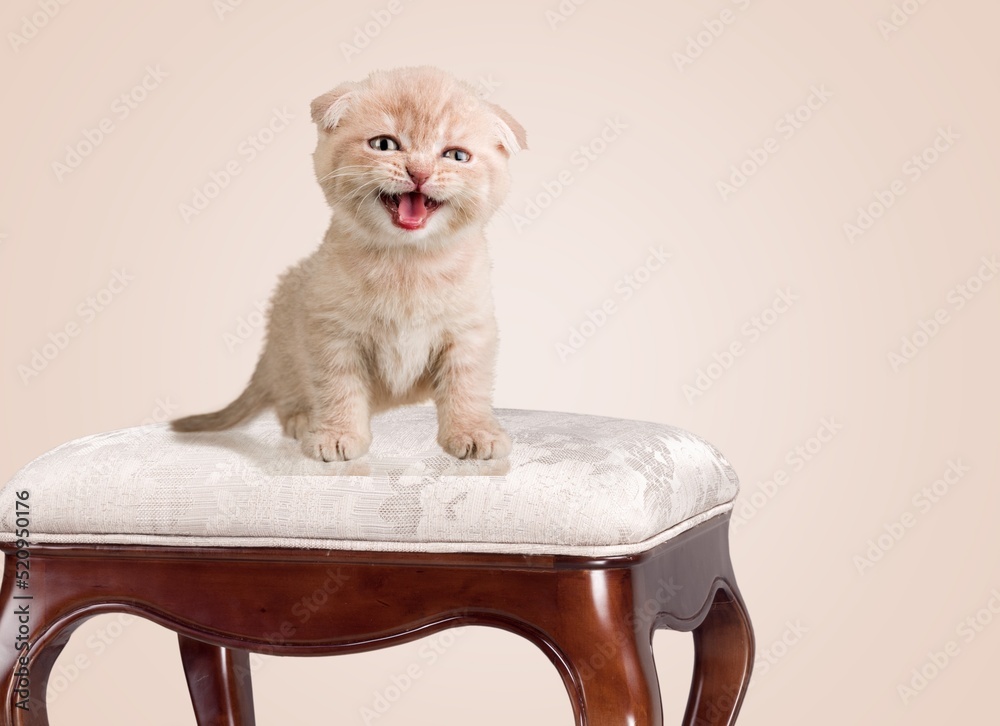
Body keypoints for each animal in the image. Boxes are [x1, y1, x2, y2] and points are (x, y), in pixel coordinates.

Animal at [173, 69, 528, 466]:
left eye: (455, 155)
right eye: (385, 145)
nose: (419, 171)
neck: (409, 263)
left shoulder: (470, 330)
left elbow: (468, 384)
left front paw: (473, 431)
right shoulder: (331, 330)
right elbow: (337, 386)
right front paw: (337, 434)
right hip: (285, 318)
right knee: (286, 388)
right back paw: (302, 418)